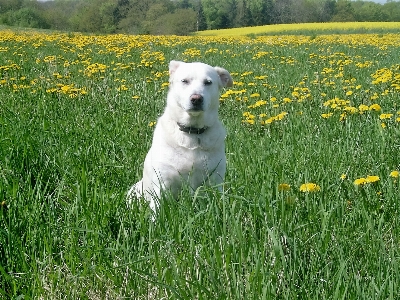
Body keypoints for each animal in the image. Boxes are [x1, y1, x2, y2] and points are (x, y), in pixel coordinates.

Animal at [128, 59, 233, 212]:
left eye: (208, 82)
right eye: (185, 81)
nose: (196, 98)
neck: (192, 132)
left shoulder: (215, 179)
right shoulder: (163, 181)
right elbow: (157, 209)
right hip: (134, 192)